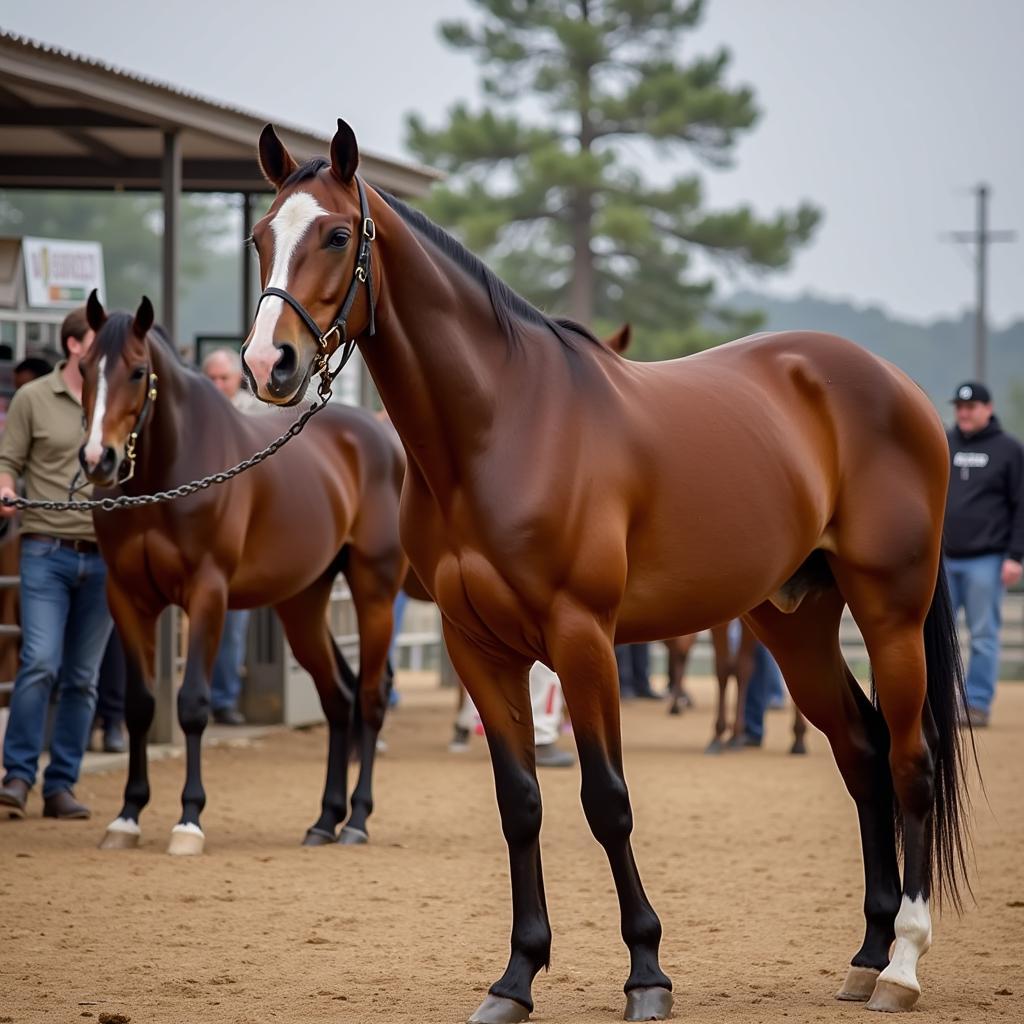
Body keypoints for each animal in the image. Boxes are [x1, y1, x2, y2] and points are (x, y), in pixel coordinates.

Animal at [79, 294, 407, 856]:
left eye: (138, 371)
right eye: (82, 368)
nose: (99, 459)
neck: (168, 475)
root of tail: (381, 435)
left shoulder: (207, 594)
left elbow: (193, 704)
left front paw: (189, 820)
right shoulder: (127, 597)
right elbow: (141, 706)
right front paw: (127, 816)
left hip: (374, 592)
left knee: (369, 698)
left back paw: (358, 819)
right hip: (302, 603)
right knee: (337, 698)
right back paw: (325, 820)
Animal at [237, 121, 966, 1024]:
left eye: (337, 235)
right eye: (260, 237)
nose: (267, 363)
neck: (504, 426)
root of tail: (897, 388)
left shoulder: (582, 639)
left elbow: (606, 801)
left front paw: (647, 974)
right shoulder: (477, 647)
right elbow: (521, 805)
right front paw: (515, 979)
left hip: (891, 611)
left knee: (911, 761)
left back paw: (902, 963)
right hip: (794, 621)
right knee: (861, 751)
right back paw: (866, 954)